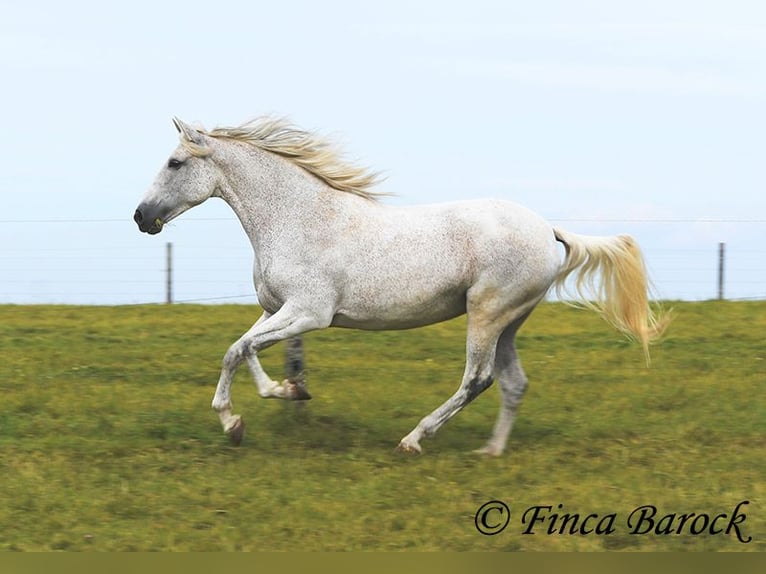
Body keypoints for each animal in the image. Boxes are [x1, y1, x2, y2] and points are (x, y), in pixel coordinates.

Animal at [135, 117, 668, 456]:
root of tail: (548, 229)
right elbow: (240, 350)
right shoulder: (275, 310)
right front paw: (261, 408)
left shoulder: (309, 313)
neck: (297, 219)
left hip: (486, 313)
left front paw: (261, 406)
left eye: (176, 163)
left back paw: (414, 440)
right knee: (513, 383)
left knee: (478, 379)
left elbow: (240, 350)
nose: (142, 217)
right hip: (509, 322)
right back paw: (489, 452)